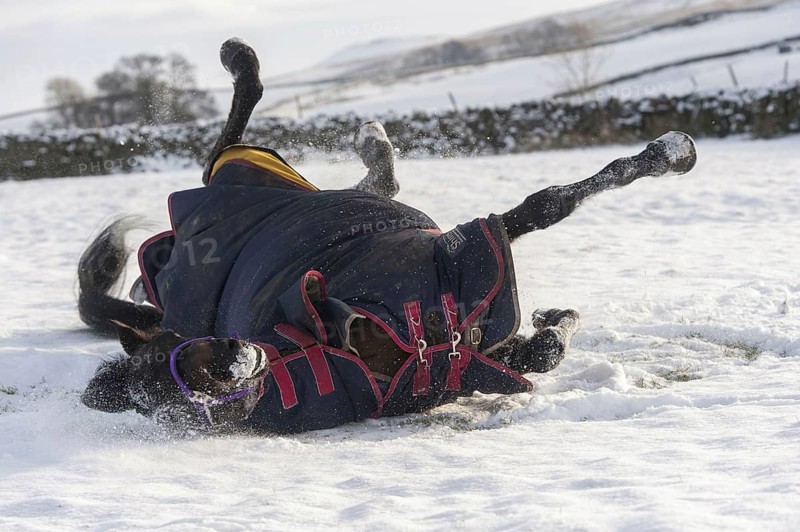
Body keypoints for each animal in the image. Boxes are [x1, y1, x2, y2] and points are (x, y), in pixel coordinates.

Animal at [77, 38, 697, 433]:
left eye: (184, 354)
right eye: (189, 395)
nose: (235, 357)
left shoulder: (449, 257)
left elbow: (547, 210)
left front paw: (668, 154)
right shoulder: (474, 270)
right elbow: (545, 328)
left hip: (278, 186)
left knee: (287, 158)